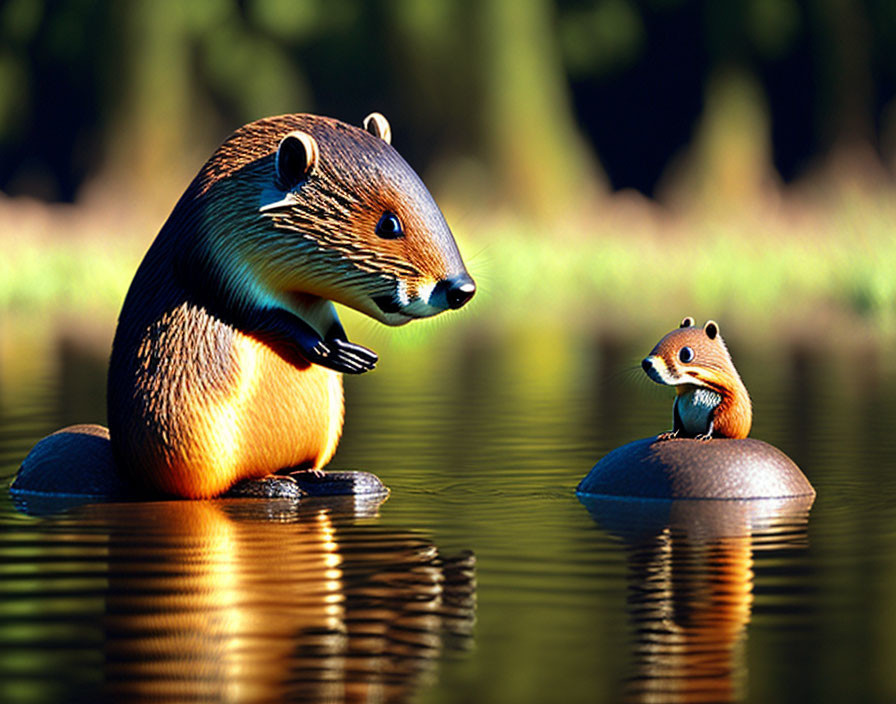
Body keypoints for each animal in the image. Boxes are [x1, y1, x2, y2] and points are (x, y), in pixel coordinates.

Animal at [14, 111, 476, 500]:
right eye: (389, 224)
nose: (462, 288)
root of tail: (128, 473)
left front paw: (349, 349)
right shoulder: (209, 250)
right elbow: (255, 312)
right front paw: (334, 352)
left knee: (304, 471)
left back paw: (347, 480)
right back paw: (272, 487)